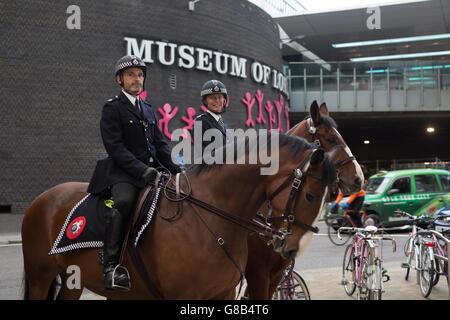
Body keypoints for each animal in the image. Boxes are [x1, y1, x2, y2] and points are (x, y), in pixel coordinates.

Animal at [22, 134, 336, 298]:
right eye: (310, 195)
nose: (292, 247)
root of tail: (41, 199)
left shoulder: (223, 293)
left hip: (71, 279)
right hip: (39, 276)